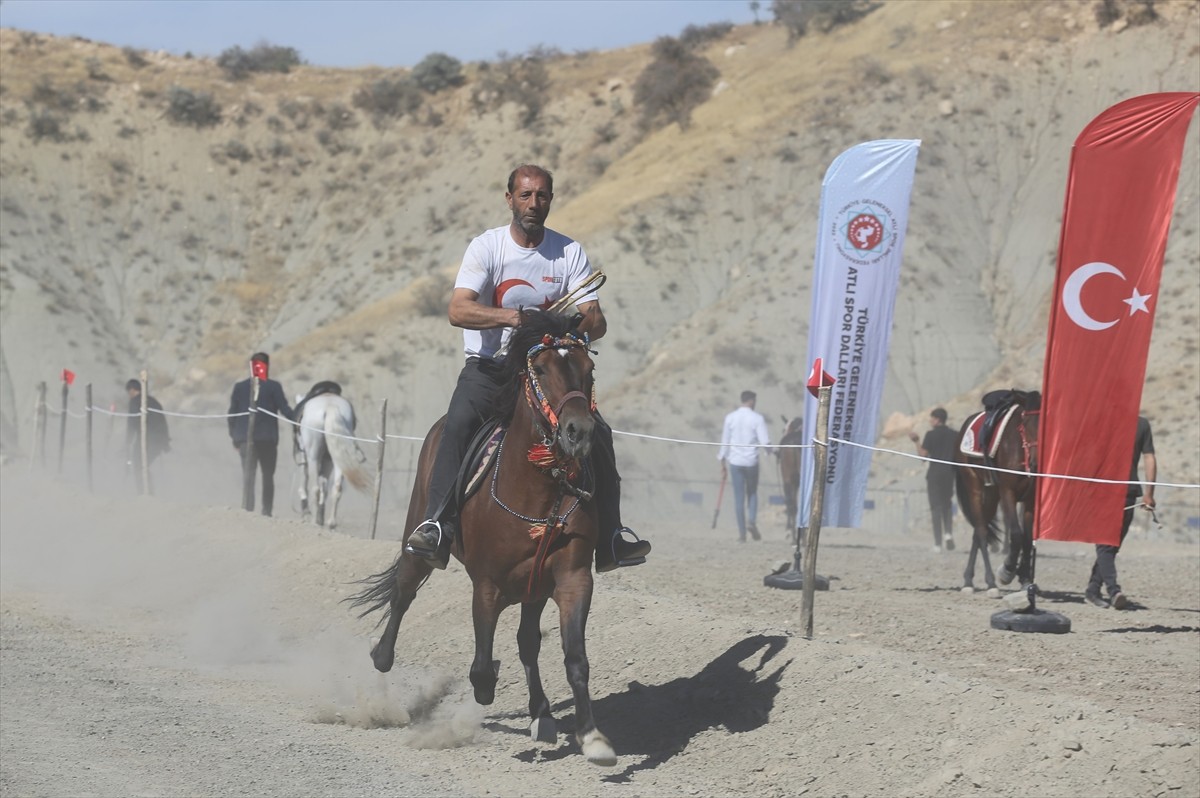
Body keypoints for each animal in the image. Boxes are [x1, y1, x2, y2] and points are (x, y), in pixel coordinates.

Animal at [294, 386, 367, 528]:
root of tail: (330, 406)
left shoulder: (305, 456)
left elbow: (306, 481)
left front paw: (306, 512)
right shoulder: (328, 461)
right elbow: (325, 487)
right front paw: (320, 516)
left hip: (313, 456)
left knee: (315, 488)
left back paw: (314, 522)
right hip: (339, 457)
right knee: (337, 488)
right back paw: (331, 523)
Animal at [343, 312, 614, 768]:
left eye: (589, 370)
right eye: (541, 370)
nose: (578, 432)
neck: (535, 494)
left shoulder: (572, 579)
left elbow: (574, 657)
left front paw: (593, 738)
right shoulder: (486, 585)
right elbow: (482, 669)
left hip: (534, 588)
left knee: (526, 643)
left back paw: (541, 715)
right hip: (418, 542)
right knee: (402, 594)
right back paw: (382, 658)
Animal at [955, 388, 1041, 595]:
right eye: (1025, 423)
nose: (1036, 462)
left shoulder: (1030, 501)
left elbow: (1027, 539)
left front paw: (1025, 578)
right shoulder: (1008, 493)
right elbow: (1016, 535)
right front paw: (1007, 570)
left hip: (992, 496)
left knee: (979, 531)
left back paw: (969, 580)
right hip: (976, 489)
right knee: (980, 530)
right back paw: (990, 582)